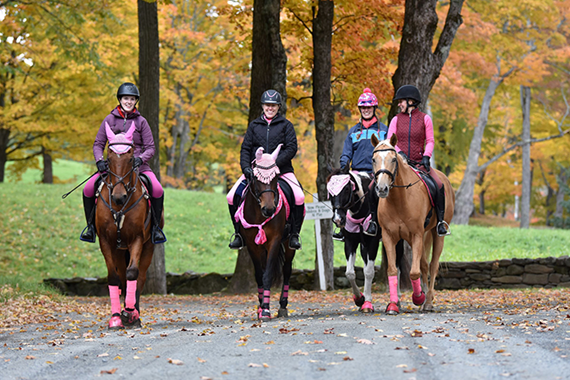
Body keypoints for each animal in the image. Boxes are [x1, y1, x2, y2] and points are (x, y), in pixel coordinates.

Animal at [93, 123, 161, 328]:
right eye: (108, 159)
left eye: (131, 159)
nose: (118, 196)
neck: (119, 207)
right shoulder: (105, 241)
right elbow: (113, 277)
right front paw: (116, 317)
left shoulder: (137, 239)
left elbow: (133, 274)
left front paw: (130, 313)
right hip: (118, 249)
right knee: (121, 275)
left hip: (148, 246)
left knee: (140, 277)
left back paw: (135, 314)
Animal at [234, 145, 300, 320]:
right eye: (256, 178)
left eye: (276, 176)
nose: (269, 209)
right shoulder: (252, 244)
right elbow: (259, 275)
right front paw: (260, 305)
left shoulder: (275, 241)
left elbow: (268, 273)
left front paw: (265, 308)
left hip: (288, 244)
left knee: (287, 270)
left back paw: (283, 306)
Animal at [368, 134, 452, 314]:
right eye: (373, 159)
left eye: (393, 159)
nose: (382, 188)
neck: (399, 198)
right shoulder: (389, 237)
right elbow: (393, 270)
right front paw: (393, 304)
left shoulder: (417, 235)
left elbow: (413, 272)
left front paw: (418, 298)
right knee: (424, 265)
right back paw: (426, 299)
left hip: (436, 234)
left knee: (433, 265)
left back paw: (428, 301)